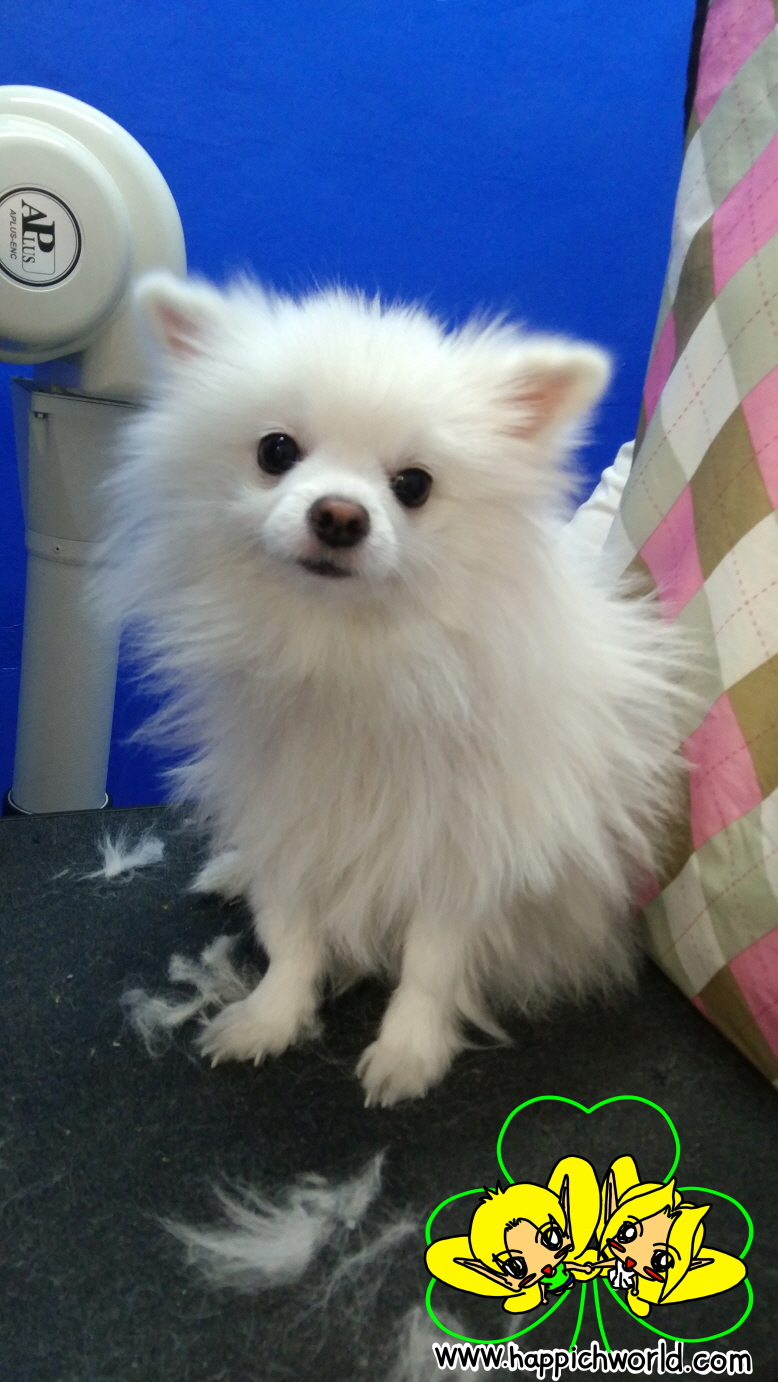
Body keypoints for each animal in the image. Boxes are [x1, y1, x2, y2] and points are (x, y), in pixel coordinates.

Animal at [98, 273, 688, 1105]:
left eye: (413, 486)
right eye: (275, 451)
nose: (340, 515)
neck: (349, 652)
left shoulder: (464, 848)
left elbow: (431, 962)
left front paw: (409, 1052)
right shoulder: (289, 810)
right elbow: (290, 933)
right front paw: (268, 1018)